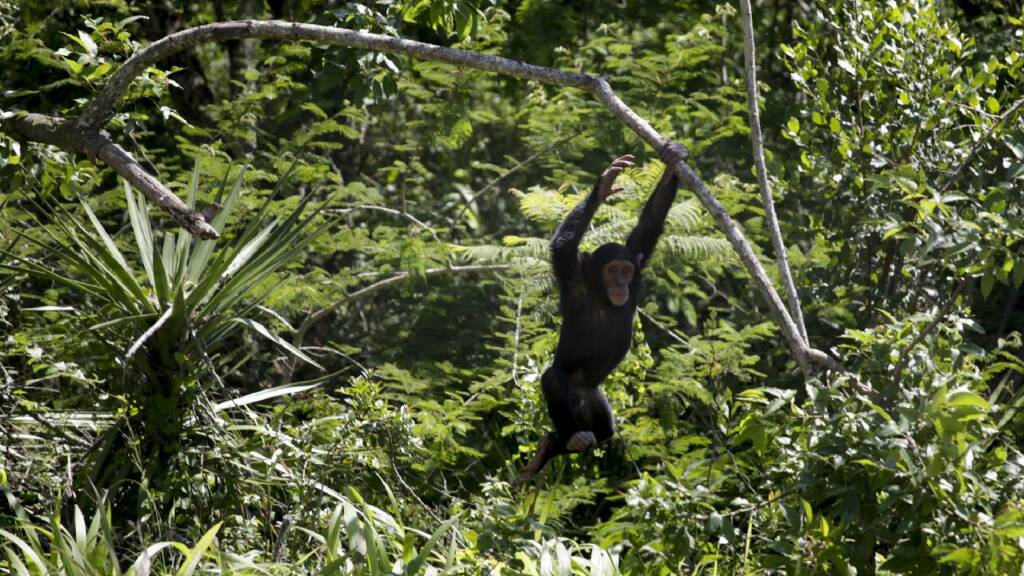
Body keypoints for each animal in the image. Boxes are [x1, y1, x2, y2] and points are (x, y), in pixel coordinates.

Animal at [520, 141, 688, 477]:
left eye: (626, 269)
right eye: (612, 270)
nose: (622, 283)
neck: (601, 295)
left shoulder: (638, 258)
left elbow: (648, 225)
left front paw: (672, 158)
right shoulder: (571, 275)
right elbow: (562, 246)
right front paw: (604, 184)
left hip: (595, 399)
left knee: (605, 431)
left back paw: (552, 447)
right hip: (571, 401)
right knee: (553, 379)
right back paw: (568, 439)